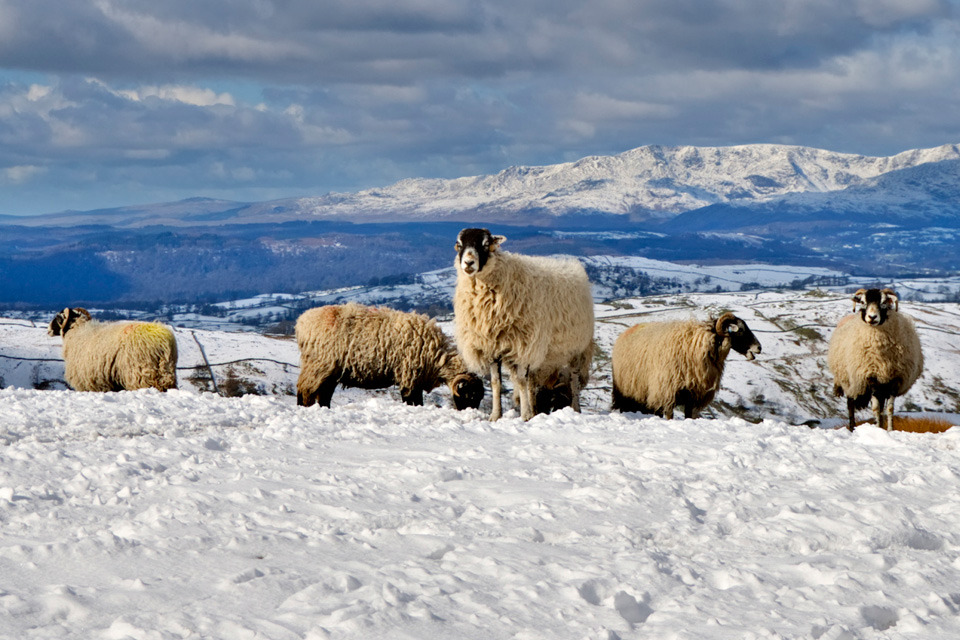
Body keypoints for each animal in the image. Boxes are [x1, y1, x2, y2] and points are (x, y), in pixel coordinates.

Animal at [47, 307, 178, 392]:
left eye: (58, 317)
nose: (48, 330)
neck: (77, 332)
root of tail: (163, 341)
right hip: (166, 369)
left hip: (140, 372)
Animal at [295, 302, 484, 410]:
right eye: (469, 395)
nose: (470, 413)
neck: (437, 356)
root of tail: (302, 322)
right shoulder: (409, 376)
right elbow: (413, 401)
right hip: (318, 365)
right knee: (305, 391)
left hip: (330, 371)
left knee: (323, 394)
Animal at [453, 228, 595, 421]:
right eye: (459, 245)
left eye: (485, 244)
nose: (468, 263)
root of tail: (573, 264)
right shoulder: (493, 346)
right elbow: (496, 383)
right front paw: (496, 415)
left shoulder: (523, 344)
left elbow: (520, 381)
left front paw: (525, 415)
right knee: (533, 382)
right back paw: (535, 410)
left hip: (577, 348)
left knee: (574, 379)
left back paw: (575, 408)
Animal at [611, 313, 761, 419]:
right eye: (740, 330)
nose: (759, 347)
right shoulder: (668, 391)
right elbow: (669, 416)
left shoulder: (693, 395)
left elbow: (689, 416)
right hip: (626, 393)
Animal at [827, 288, 923, 431]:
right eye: (863, 302)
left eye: (883, 302)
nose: (872, 317)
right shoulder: (870, 377)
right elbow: (876, 408)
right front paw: (877, 428)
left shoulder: (894, 379)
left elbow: (889, 409)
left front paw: (889, 429)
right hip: (850, 381)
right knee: (850, 405)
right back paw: (852, 427)